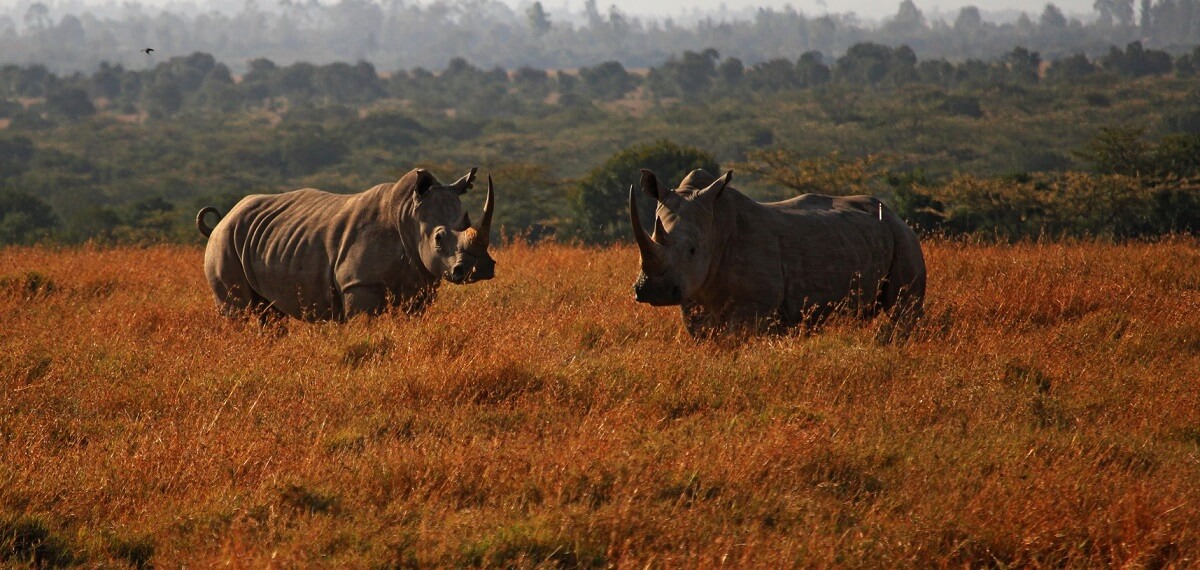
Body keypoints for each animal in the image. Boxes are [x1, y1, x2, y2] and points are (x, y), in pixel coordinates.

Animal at [196, 167, 496, 321]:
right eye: (438, 238)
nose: (478, 269)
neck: (408, 215)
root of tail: (225, 217)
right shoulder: (359, 282)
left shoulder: (420, 285)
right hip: (225, 241)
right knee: (239, 312)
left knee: (269, 314)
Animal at [629, 168, 925, 338]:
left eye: (692, 250)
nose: (653, 291)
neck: (716, 223)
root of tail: (894, 214)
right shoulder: (693, 295)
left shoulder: (755, 307)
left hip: (904, 239)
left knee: (903, 311)